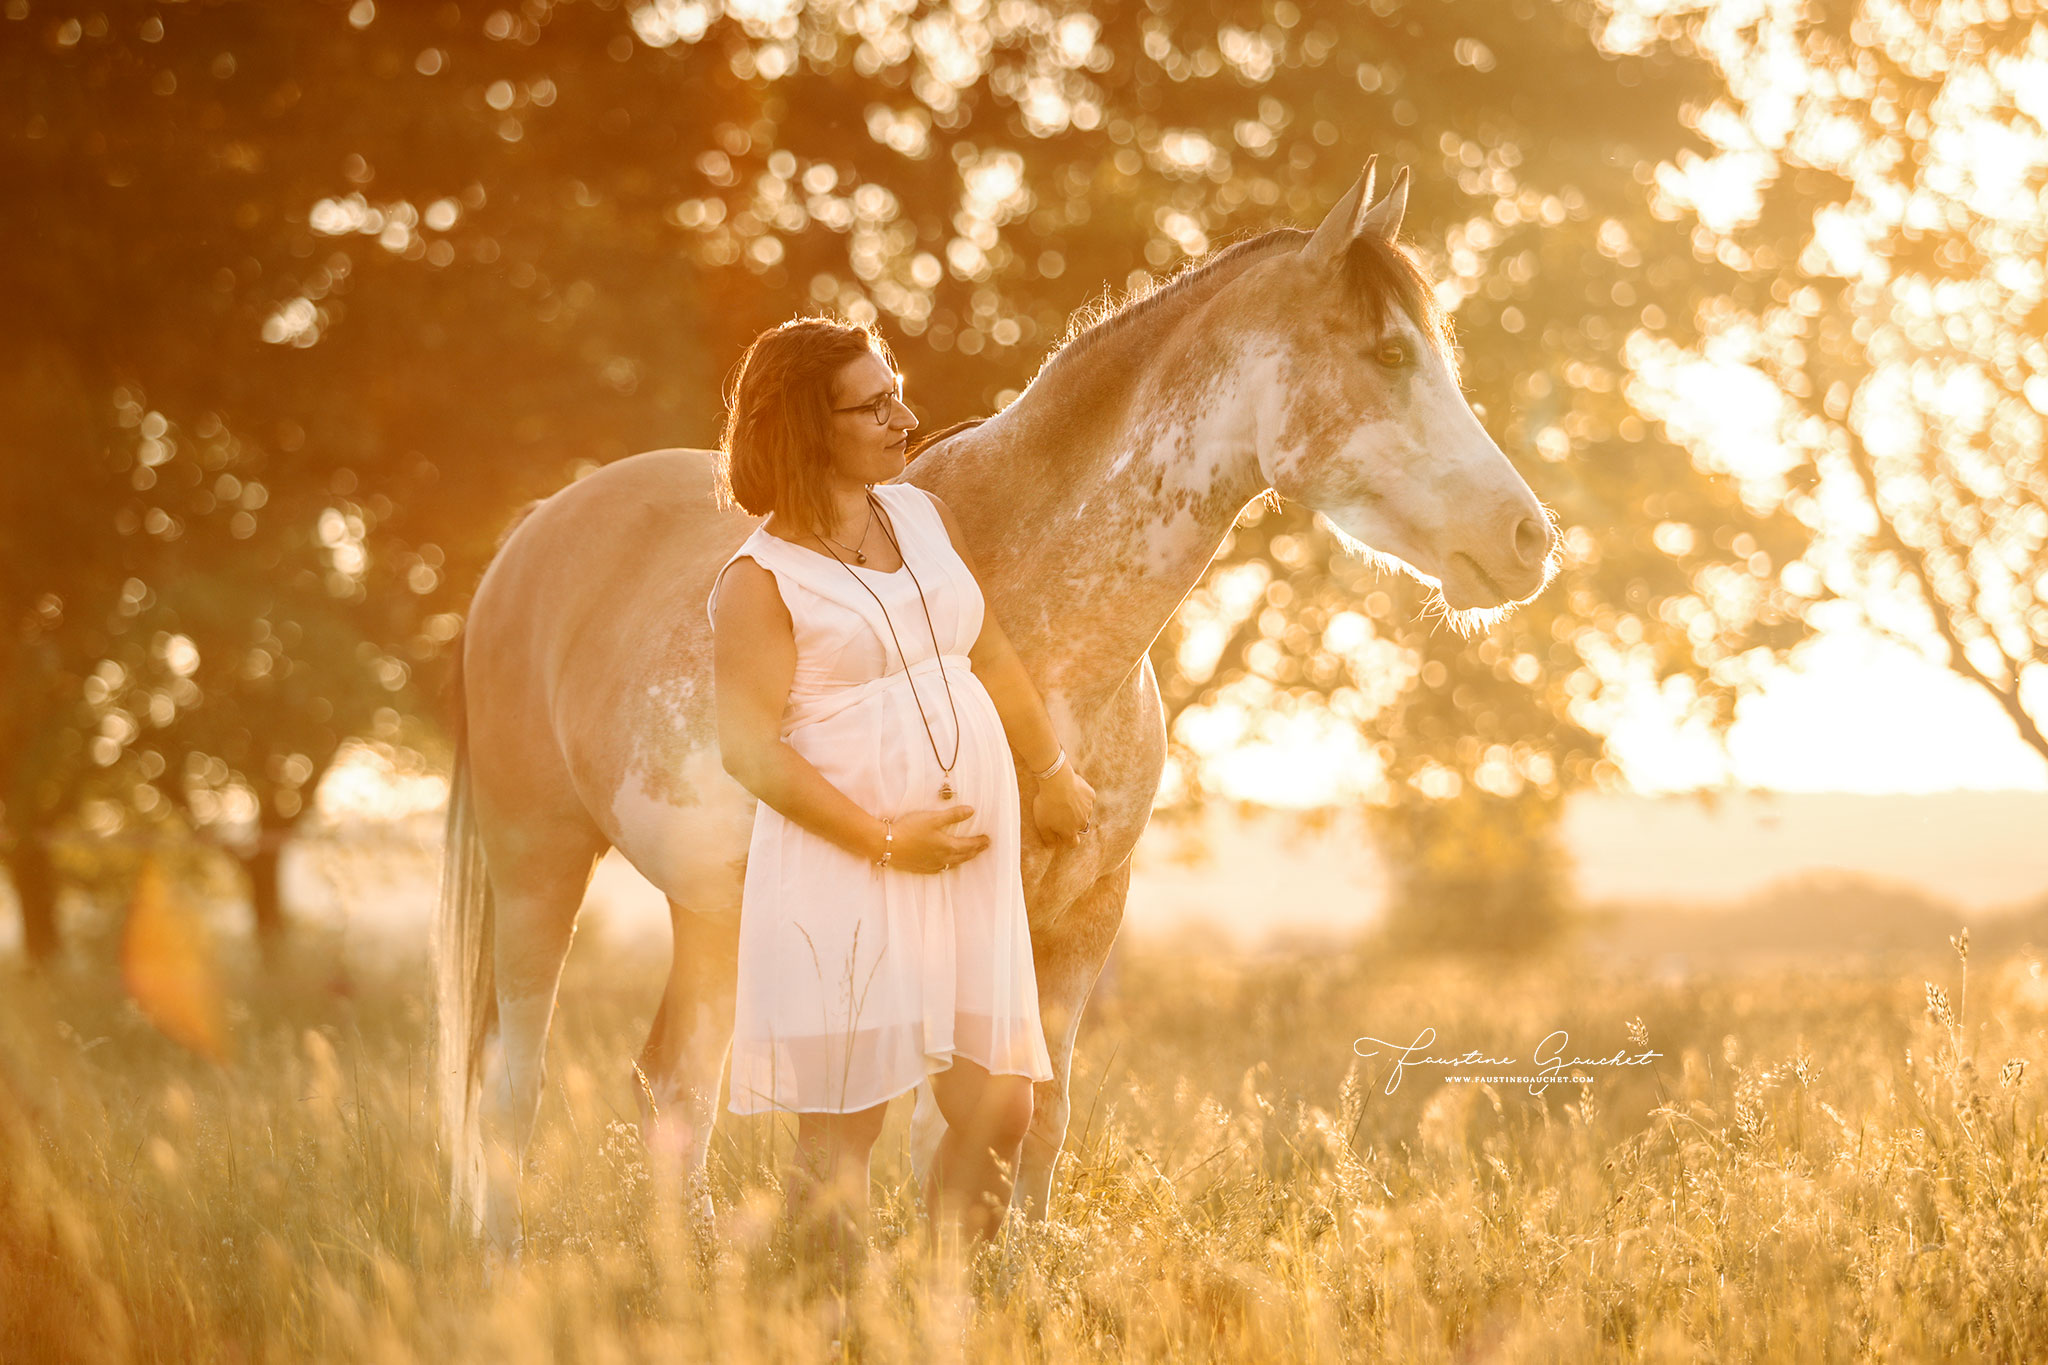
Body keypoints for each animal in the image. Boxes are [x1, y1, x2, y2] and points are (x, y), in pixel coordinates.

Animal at [432, 154, 1548, 1252]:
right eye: (1387, 353)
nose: (1530, 539)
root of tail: (534, 534)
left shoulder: (1087, 921)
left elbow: (1036, 1127)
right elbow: (947, 1142)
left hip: (709, 909)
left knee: (673, 1087)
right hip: (539, 867)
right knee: (511, 1085)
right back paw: (505, 1267)